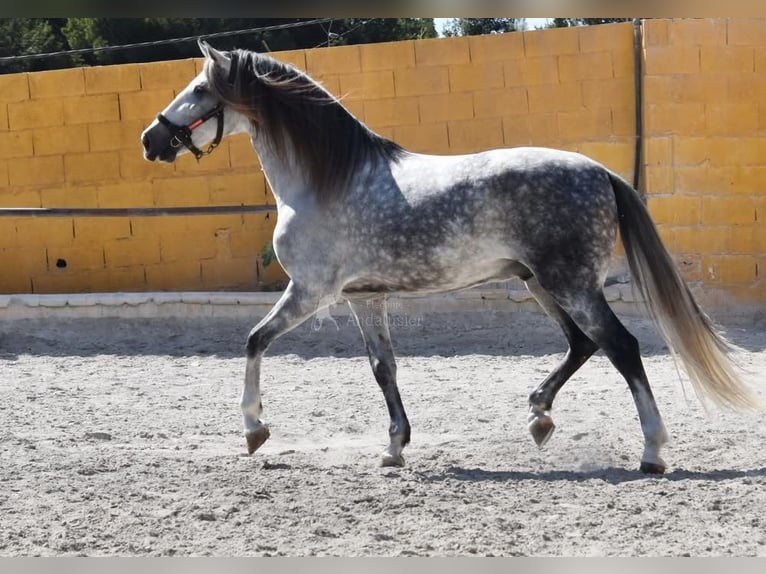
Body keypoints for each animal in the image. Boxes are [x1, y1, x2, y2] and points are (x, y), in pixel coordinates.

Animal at [141, 40, 758, 474]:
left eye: (199, 91)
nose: (151, 140)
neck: (328, 179)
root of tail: (600, 172)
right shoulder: (365, 298)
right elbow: (383, 369)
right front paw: (394, 448)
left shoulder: (312, 292)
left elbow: (253, 341)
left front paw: (254, 429)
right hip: (541, 283)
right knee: (583, 344)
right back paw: (538, 417)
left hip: (571, 285)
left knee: (621, 346)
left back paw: (651, 451)